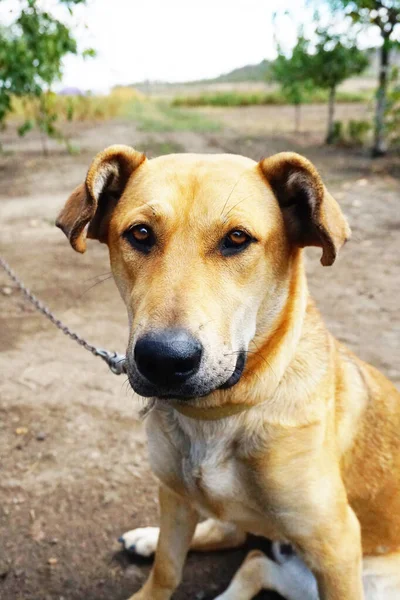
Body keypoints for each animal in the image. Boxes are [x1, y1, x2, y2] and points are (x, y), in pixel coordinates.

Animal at [56, 146, 400, 600]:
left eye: (237, 239)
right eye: (140, 234)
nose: (164, 360)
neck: (218, 413)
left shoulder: (336, 545)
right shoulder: (174, 495)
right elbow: (168, 567)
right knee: (245, 547)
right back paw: (148, 539)